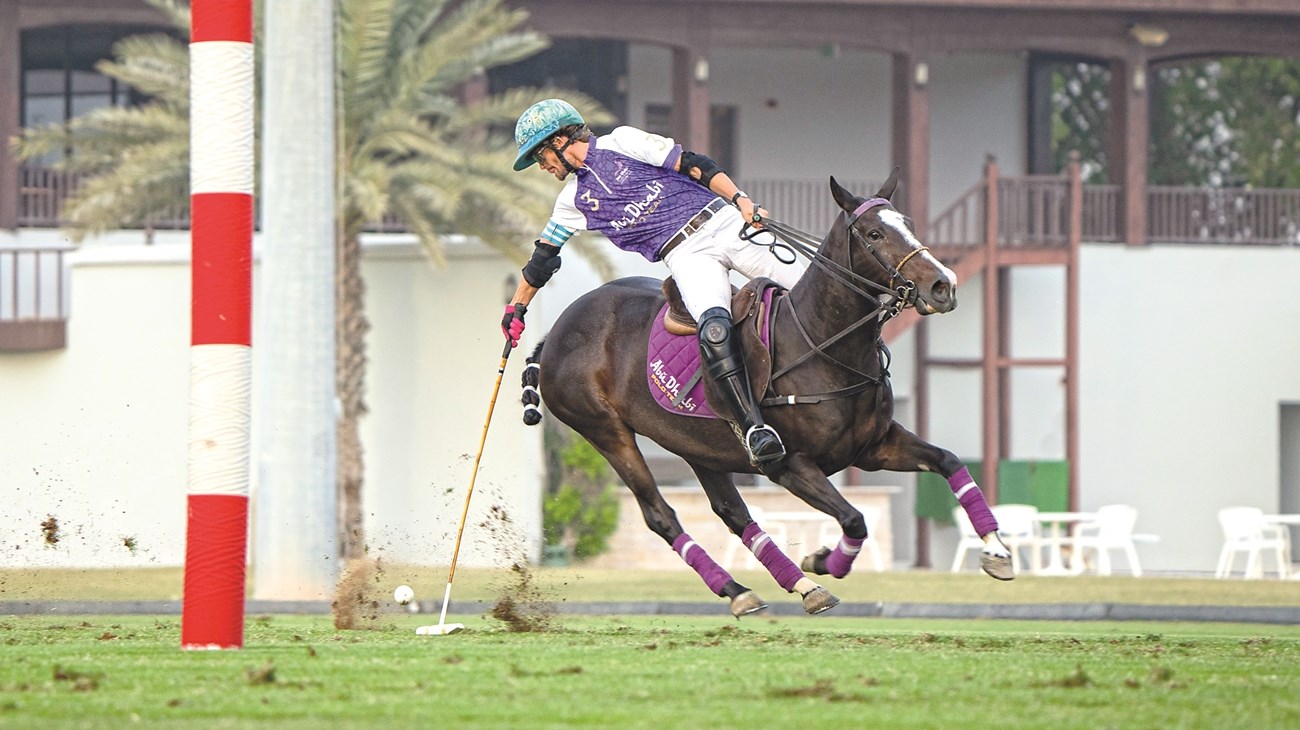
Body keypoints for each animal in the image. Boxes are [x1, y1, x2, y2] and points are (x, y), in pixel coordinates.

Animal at [522, 171, 1008, 613]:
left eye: (907, 222)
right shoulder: (790, 465)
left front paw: (997, 551)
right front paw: (824, 560)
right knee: (661, 514)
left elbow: (949, 462)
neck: (823, 344)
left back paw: (787, 588)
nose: (943, 285)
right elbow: (855, 518)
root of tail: (556, 330)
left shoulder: (873, 447)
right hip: (605, 430)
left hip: (697, 444)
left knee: (733, 513)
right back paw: (744, 587)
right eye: (874, 234)